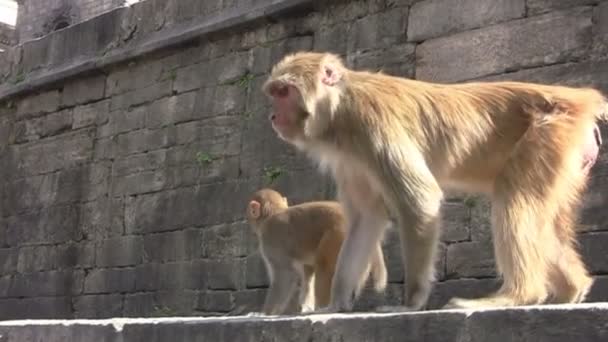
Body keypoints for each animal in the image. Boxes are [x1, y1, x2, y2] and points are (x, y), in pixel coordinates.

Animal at [246, 188, 384, 314]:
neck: (274, 212)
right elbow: (307, 270)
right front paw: (305, 307)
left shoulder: (270, 240)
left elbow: (286, 274)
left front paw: (265, 313)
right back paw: (344, 305)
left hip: (336, 236)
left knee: (324, 265)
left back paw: (328, 307)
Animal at [262, 51, 604, 312]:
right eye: (274, 93)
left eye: (284, 92)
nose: (273, 117)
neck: (339, 109)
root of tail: (580, 99)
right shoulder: (350, 159)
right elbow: (366, 217)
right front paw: (336, 303)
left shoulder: (372, 125)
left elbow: (419, 199)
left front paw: (410, 303)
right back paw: (571, 290)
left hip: (549, 134)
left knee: (513, 198)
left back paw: (517, 295)